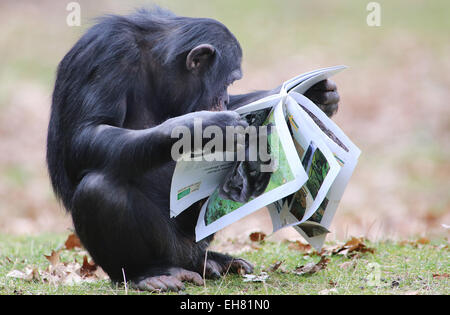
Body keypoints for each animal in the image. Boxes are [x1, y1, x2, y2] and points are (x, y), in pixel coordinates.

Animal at [46, 7, 342, 294]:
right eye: (229, 80)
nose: (223, 97)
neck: (154, 65)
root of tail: (190, 255)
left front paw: (317, 95)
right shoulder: (108, 53)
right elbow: (87, 133)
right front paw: (202, 128)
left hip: (201, 240)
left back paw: (217, 261)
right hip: (172, 247)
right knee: (98, 189)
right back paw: (148, 274)